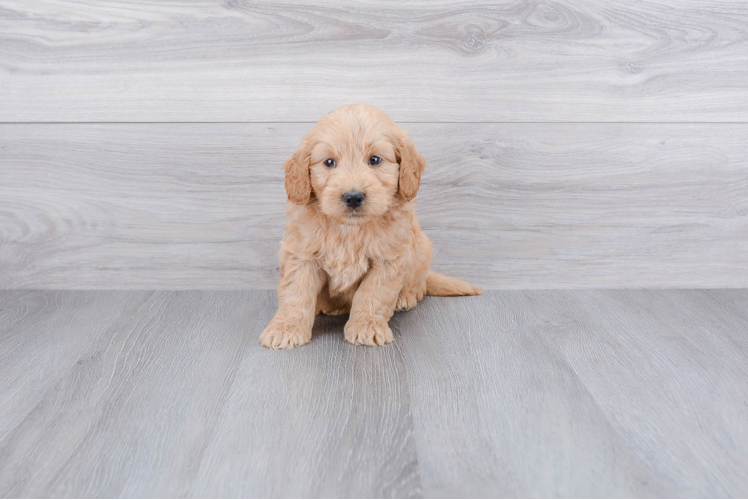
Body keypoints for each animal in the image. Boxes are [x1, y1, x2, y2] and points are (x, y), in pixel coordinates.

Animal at [260, 104, 482, 350]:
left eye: (375, 160)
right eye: (329, 162)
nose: (353, 197)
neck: (349, 229)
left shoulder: (388, 259)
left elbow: (372, 293)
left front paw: (366, 327)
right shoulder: (301, 256)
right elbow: (295, 293)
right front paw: (286, 329)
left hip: (423, 248)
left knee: (419, 283)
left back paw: (405, 297)